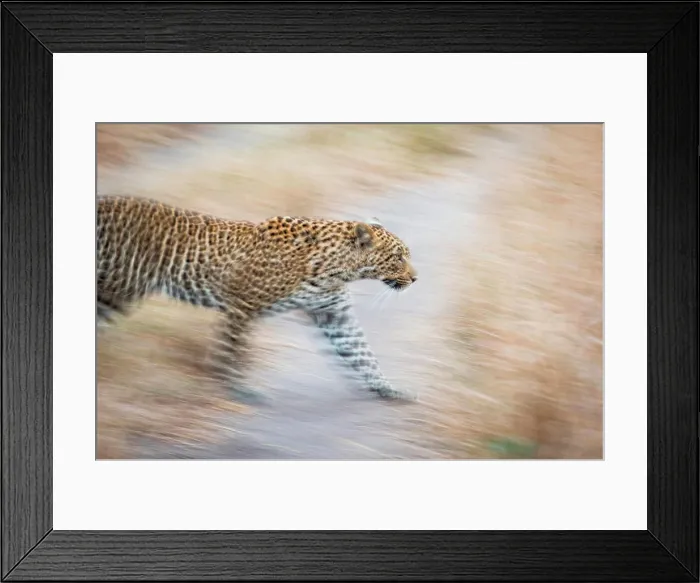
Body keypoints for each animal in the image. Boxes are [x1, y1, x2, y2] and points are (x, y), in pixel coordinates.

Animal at [97, 195, 418, 402]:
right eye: (398, 257)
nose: (416, 278)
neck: (337, 269)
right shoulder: (242, 308)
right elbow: (231, 351)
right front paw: (237, 388)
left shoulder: (334, 314)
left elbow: (362, 354)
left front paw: (388, 389)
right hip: (117, 287)